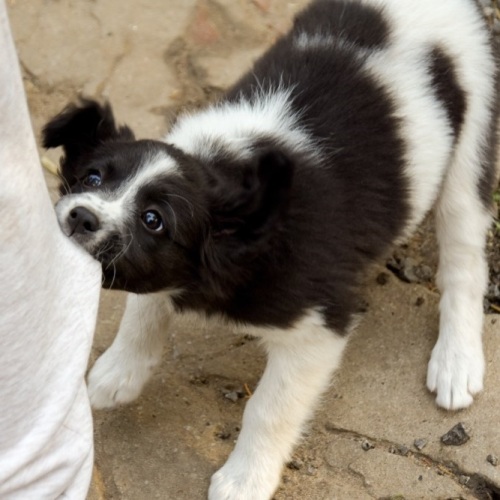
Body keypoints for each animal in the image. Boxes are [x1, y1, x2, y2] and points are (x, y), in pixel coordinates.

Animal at [43, 0, 496, 500]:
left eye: (153, 219)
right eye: (92, 177)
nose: (80, 216)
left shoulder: (318, 327)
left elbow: (268, 407)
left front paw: (245, 479)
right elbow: (147, 304)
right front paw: (120, 371)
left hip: (471, 142)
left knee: (464, 259)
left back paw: (456, 361)